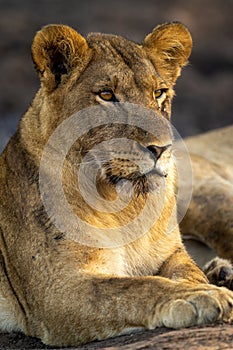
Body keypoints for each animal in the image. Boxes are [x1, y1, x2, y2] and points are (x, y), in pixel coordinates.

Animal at [0, 22, 233, 348]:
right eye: (107, 95)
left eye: (159, 93)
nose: (162, 149)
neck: (122, 205)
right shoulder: (57, 292)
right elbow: (136, 289)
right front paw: (201, 297)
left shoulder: (171, 254)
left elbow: (185, 273)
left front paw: (203, 286)